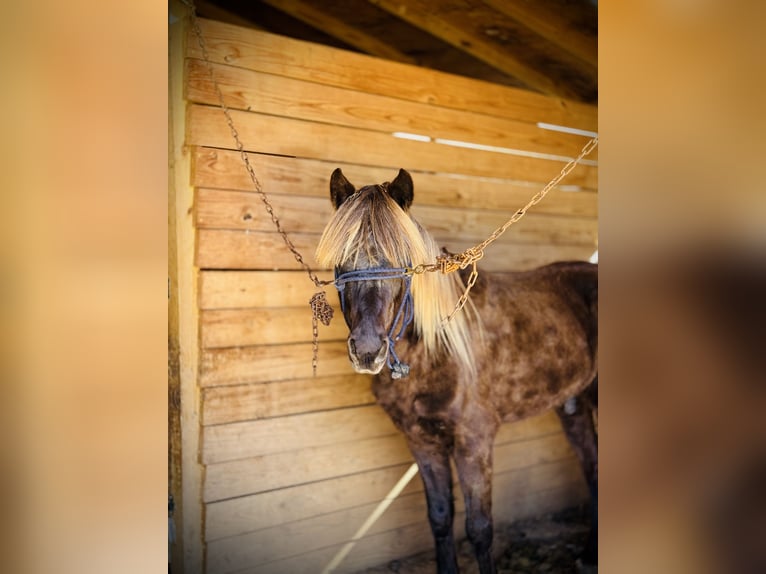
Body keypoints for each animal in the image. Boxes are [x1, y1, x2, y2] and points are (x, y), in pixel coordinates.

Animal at [316, 169, 596, 572]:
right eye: (341, 261)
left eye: (404, 262)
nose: (367, 351)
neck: (434, 352)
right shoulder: (422, 442)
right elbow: (440, 518)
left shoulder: (473, 441)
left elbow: (479, 528)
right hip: (575, 406)